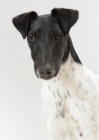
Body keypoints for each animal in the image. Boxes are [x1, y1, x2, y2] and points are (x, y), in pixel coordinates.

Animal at [12, 7, 99, 140]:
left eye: (57, 36)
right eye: (32, 38)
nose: (45, 71)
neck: (62, 91)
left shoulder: (88, 132)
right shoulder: (54, 132)